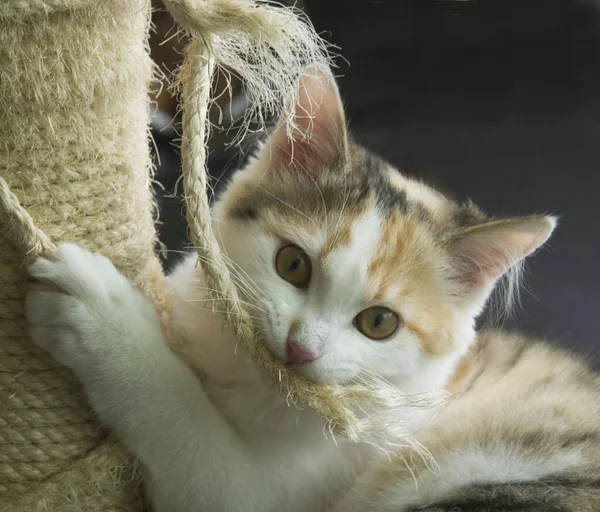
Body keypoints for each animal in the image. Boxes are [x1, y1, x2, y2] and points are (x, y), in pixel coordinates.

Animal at [27, 69, 600, 512]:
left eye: (379, 323)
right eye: (293, 265)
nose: (301, 349)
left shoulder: (264, 492)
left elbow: (181, 422)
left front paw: (103, 318)